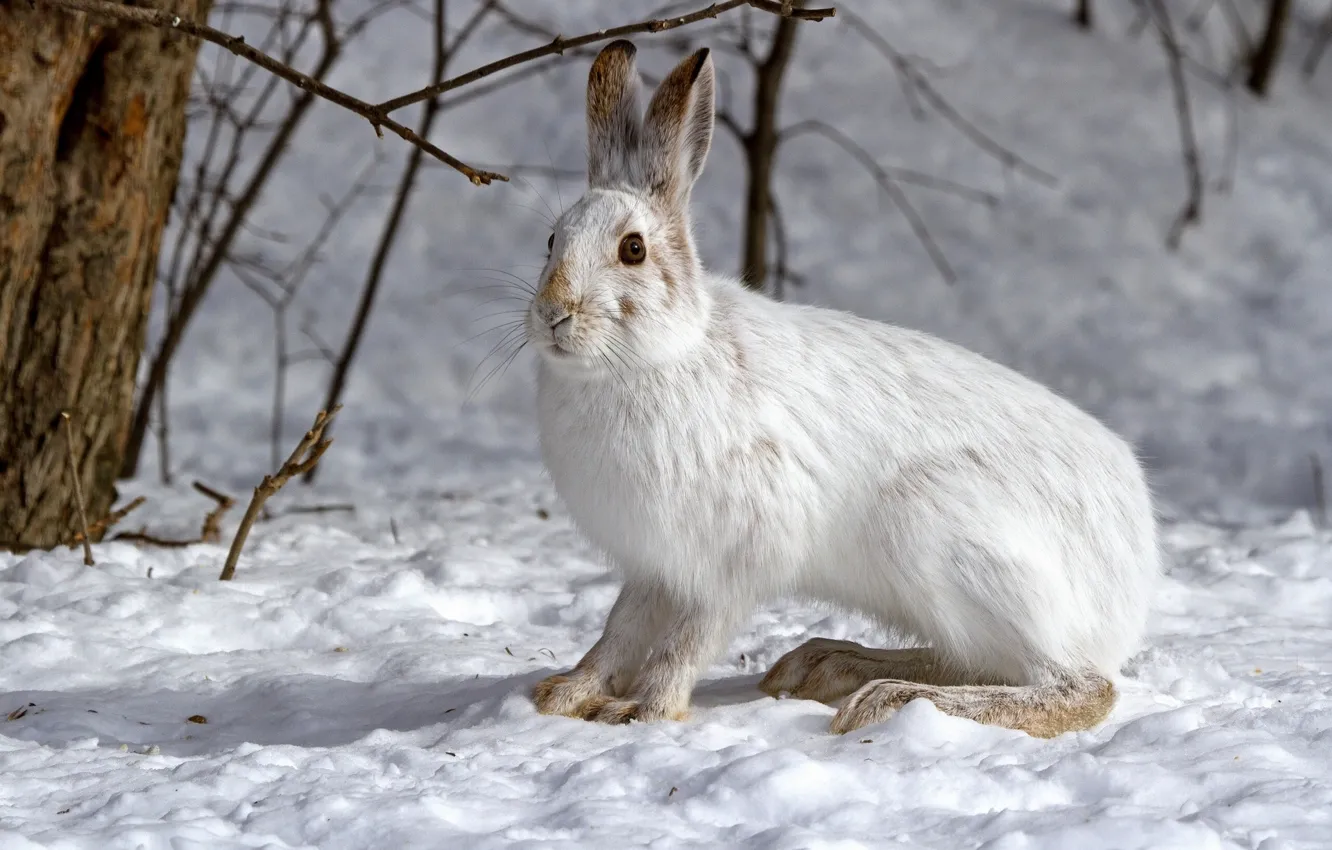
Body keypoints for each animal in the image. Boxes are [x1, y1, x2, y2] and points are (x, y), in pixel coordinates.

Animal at [526, 39, 1160, 737]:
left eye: (633, 250)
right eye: (551, 241)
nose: (552, 313)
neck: (657, 357)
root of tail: (1133, 574)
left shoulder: (734, 559)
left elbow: (686, 640)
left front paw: (646, 711)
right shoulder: (655, 566)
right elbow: (619, 628)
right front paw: (564, 695)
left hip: (946, 539)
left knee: (1077, 687)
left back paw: (886, 698)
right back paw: (829, 666)